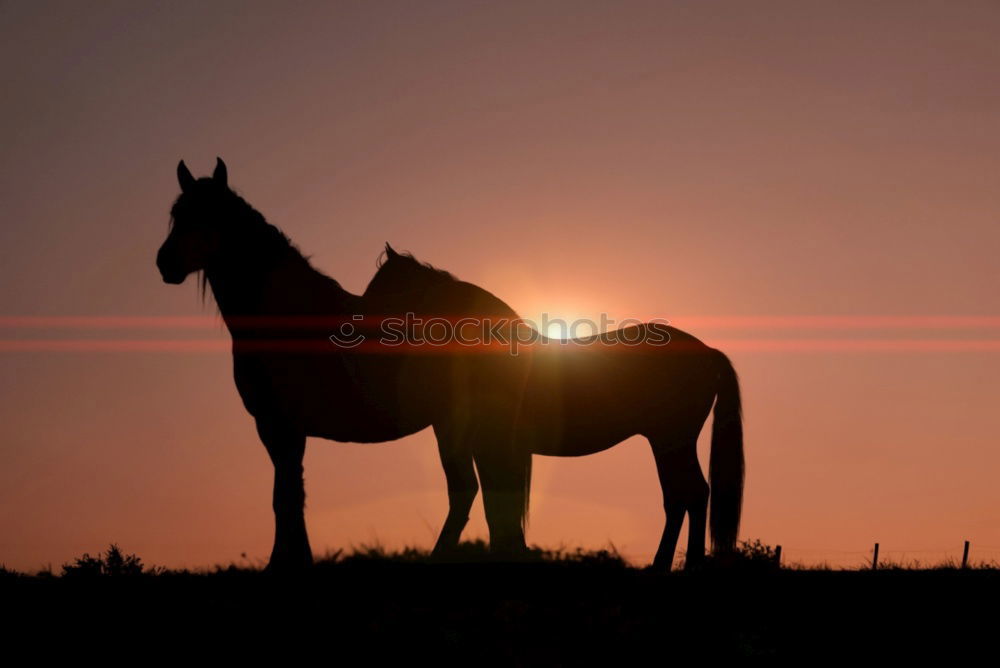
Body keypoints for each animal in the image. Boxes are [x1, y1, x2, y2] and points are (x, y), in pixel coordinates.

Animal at [152, 157, 740, 568]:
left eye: (207, 217)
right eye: (175, 215)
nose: (165, 264)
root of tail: (707, 351)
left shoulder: (280, 427)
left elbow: (286, 498)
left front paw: (287, 565)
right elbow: (289, 496)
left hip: (665, 437)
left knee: (688, 495)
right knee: (683, 497)